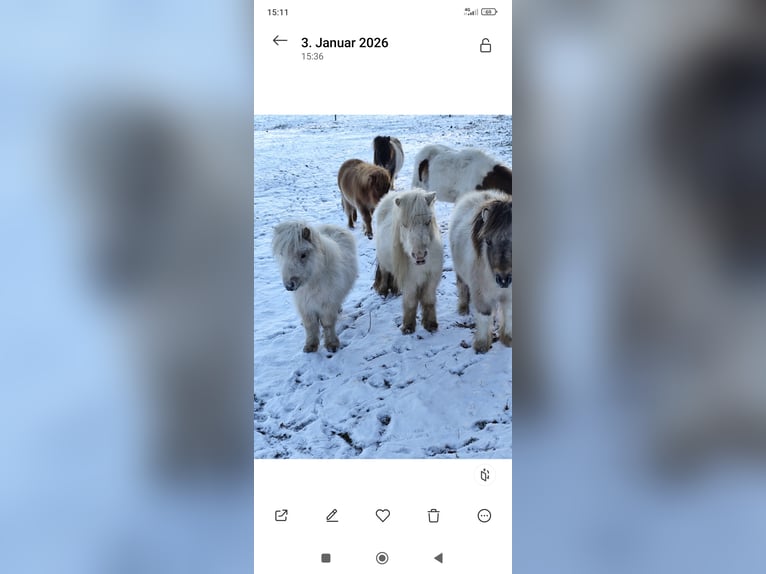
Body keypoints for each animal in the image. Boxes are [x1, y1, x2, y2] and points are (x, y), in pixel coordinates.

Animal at [272, 221, 358, 352]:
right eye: (282, 254)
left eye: (303, 255)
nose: (289, 285)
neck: (312, 283)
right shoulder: (305, 306)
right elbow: (310, 325)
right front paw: (310, 346)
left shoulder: (327, 304)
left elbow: (327, 324)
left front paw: (332, 344)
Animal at [373, 190, 443, 334]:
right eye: (404, 224)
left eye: (428, 221)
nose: (419, 255)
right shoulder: (409, 281)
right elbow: (410, 302)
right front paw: (408, 327)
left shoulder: (432, 277)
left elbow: (428, 300)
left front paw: (431, 324)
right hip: (383, 262)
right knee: (384, 273)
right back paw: (383, 291)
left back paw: (395, 290)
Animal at [450, 191, 512, 353]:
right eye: (488, 241)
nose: (504, 279)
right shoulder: (481, 294)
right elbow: (484, 316)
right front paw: (482, 344)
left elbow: (508, 312)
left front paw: (508, 339)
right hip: (460, 273)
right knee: (462, 287)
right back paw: (463, 309)